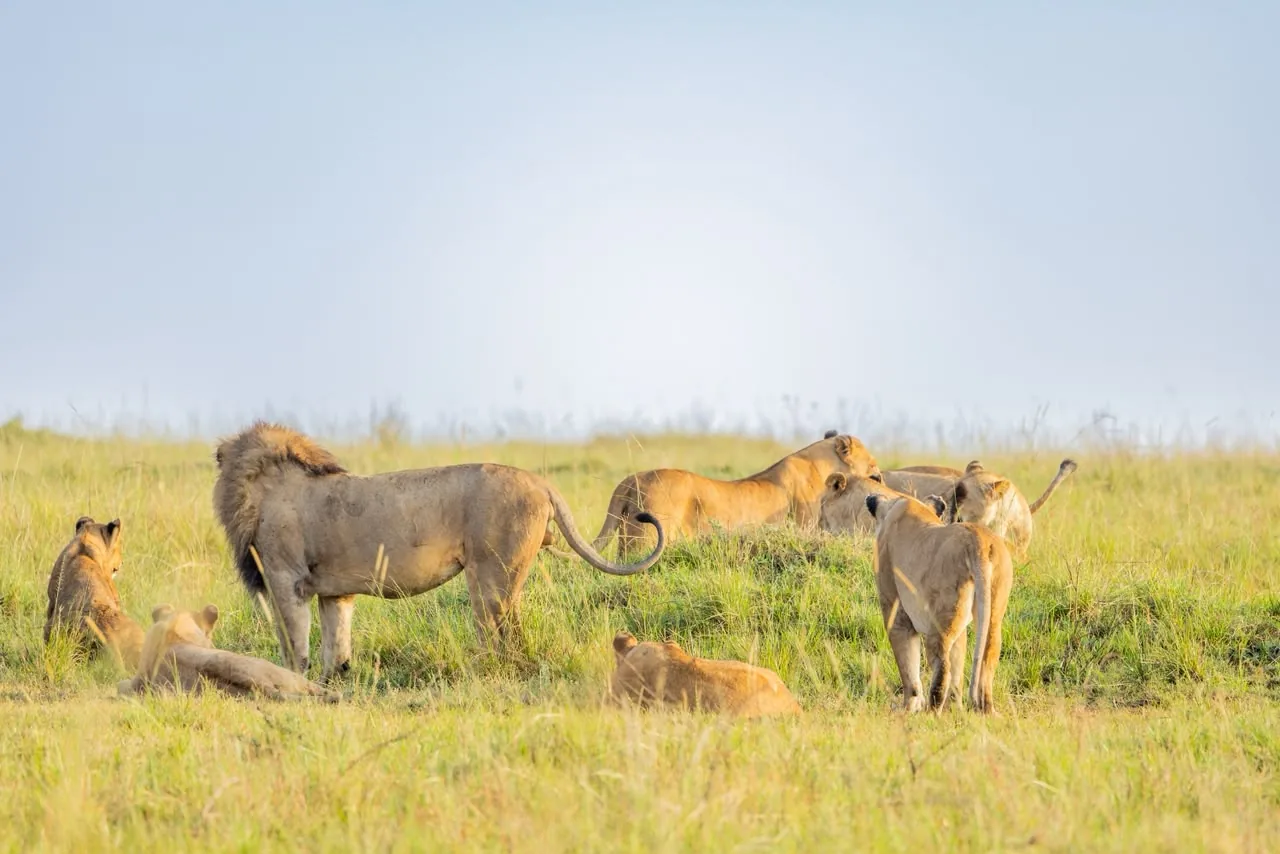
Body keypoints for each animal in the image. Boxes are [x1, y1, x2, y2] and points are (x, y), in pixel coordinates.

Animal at [213, 421, 665, 678]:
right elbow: (335, 644)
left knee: (497, 633)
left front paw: (294, 681)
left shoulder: (286, 579)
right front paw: (334, 681)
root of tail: (539, 482)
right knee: (511, 630)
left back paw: (483, 671)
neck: (262, 489)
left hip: (489, 576)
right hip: (501, 578)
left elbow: (293, 644)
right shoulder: (333, 592)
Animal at [865, 492, 1013, 713]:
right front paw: (953, 708)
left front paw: (909, 707)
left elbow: (908, 665)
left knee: (943, 666)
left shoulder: (896, 612)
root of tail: (978, 541)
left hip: (941, 618)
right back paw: (981, 710)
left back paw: (932, 711)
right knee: (986, 658)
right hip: (991, 610)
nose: (870, 497)